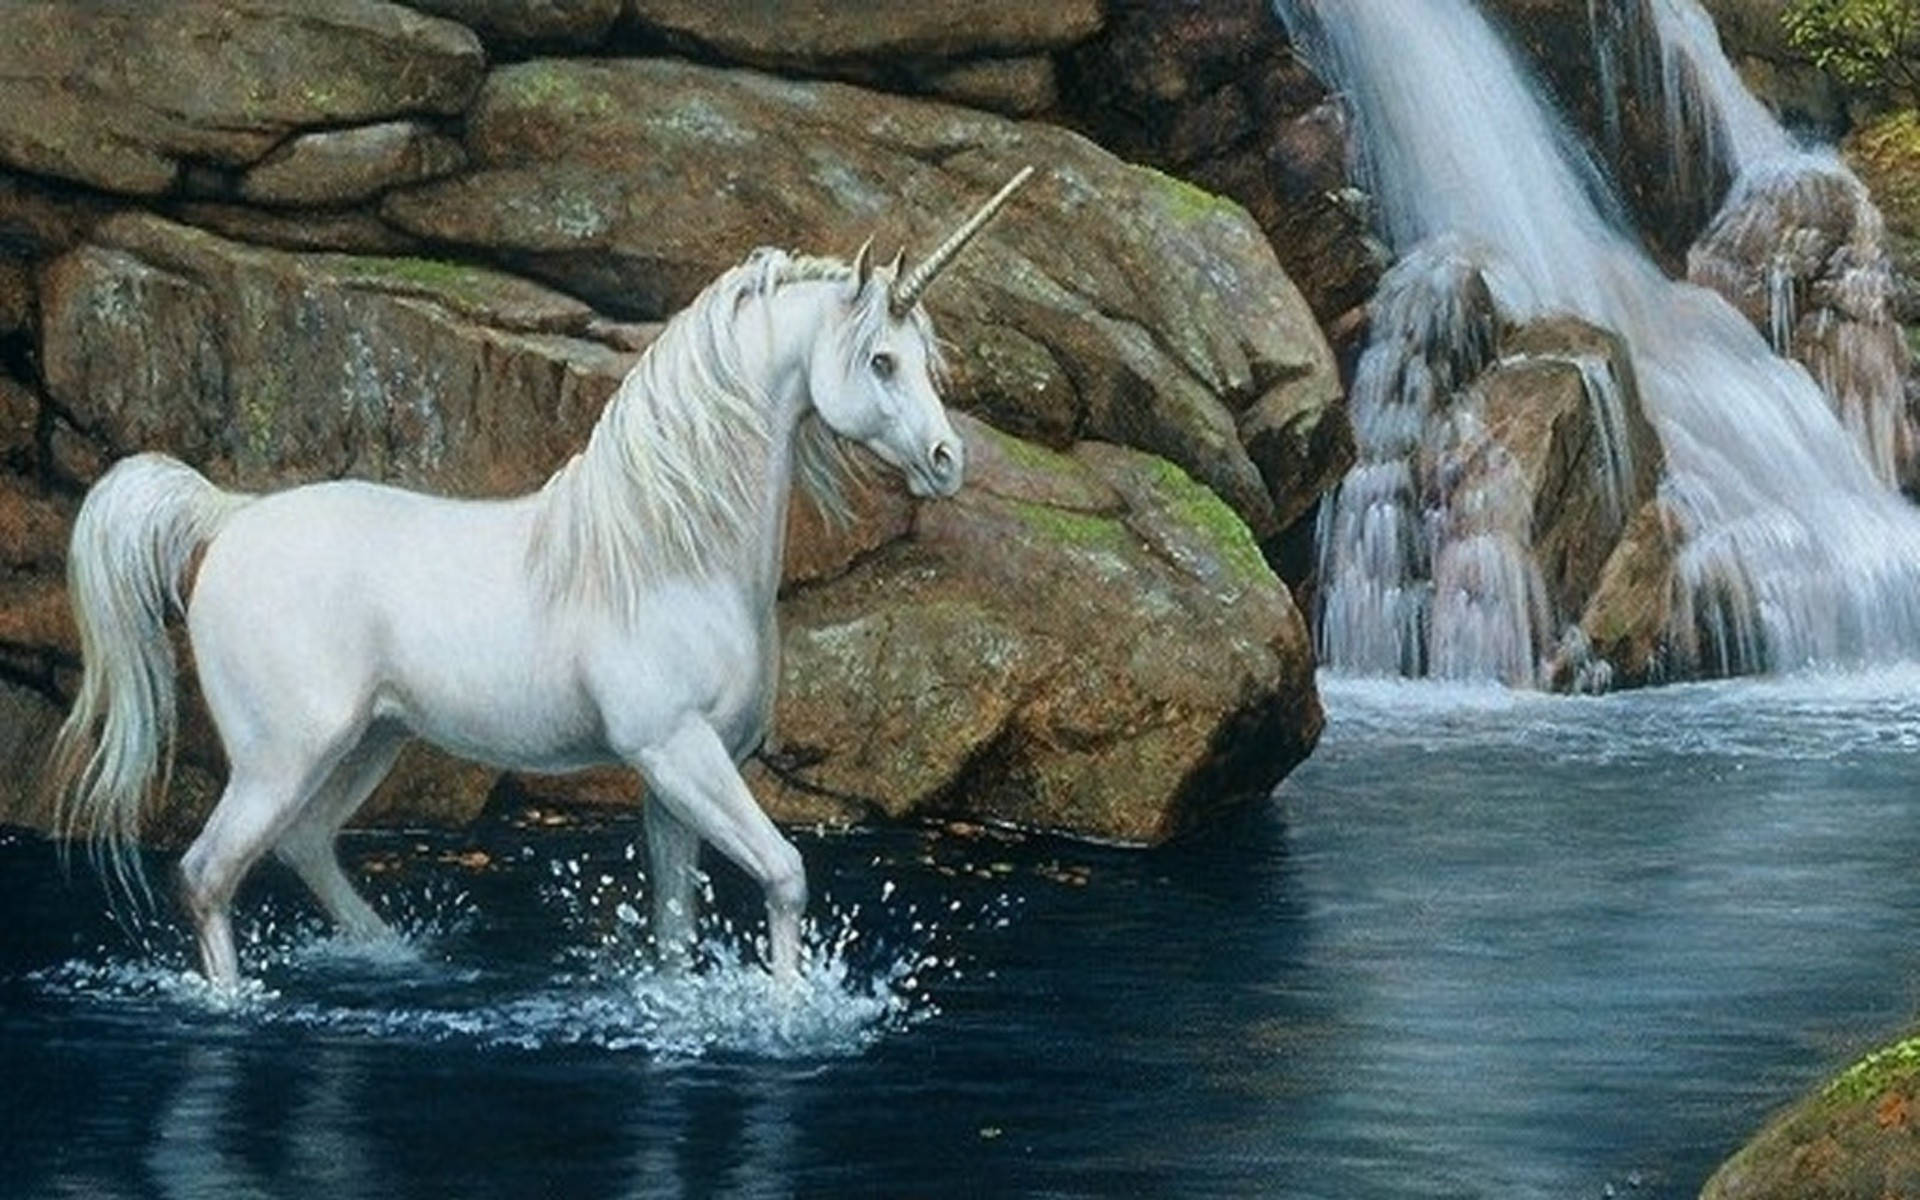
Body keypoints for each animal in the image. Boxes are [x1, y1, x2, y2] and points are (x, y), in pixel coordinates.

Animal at [48, 167, 1035, 992]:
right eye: (880, 361)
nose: (947, 461)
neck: (668, 554)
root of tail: (230, 518)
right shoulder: (678, 751)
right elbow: (785, 876)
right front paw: (786, 1013)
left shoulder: (671, 778)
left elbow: (676, 924)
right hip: (282, 754)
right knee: (207, 875)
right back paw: (235, 1003)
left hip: (366, 743)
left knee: (305, 846)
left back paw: (395, 960)